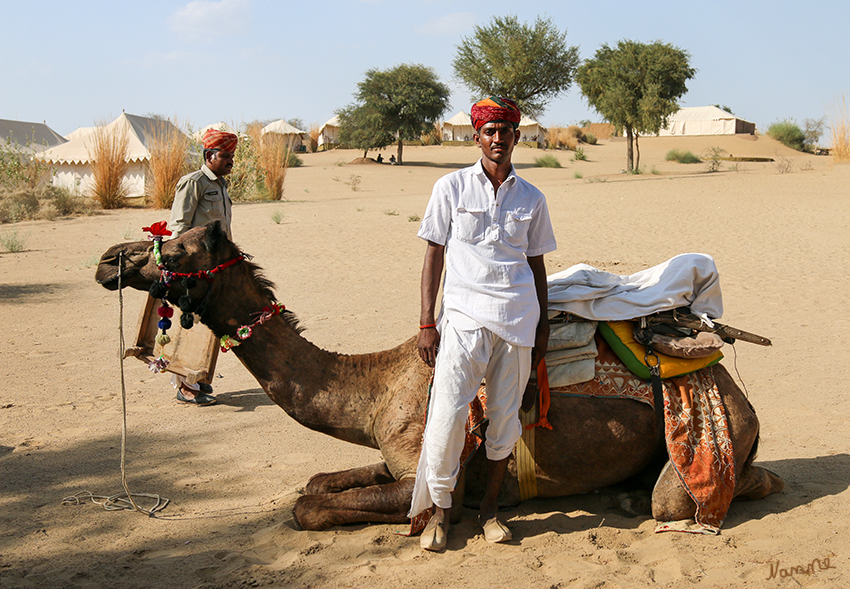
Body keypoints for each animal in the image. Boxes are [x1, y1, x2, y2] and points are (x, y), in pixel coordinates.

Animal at [94, 222, 780, 532]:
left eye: (179, 248)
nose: (108, 260)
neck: (377, 386)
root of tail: (740, 397)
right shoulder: (393, 455)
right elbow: (316, 481)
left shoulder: (424, 478)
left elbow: (307, 507)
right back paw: (628, 493)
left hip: (711, 444)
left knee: (730, 487)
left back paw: (648, 500)